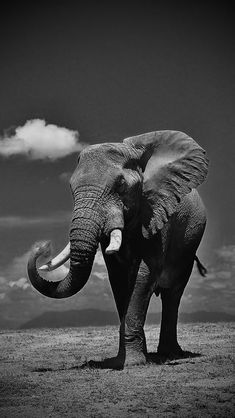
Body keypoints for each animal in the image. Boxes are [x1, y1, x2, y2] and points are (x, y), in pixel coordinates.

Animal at [26, 130, 208, 366]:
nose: (42, 247)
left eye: (121, 186)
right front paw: (123, 360)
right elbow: (119, 278)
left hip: (189, 243)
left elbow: (143, 275)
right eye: (71, 188)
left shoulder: (158, 212)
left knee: (173, 293)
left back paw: (171, 354)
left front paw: (132, 363)